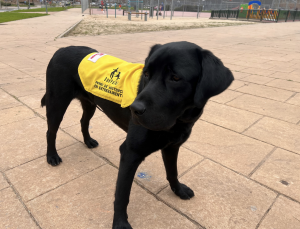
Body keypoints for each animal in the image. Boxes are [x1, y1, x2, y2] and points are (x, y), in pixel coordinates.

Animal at [41, 41, 234, 229]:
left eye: (176, 78)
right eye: (146, 74)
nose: (134, 109)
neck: (178, 122)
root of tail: (61, 49)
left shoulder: (172, 147)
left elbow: (173, 172)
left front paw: (178, 190)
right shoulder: (129, 153)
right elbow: (122, 194)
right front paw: (120, 223)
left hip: (90, 102)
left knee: (83, 121)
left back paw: (88, 141)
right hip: (57, 102)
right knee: (51, 131)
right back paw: (52, 156)